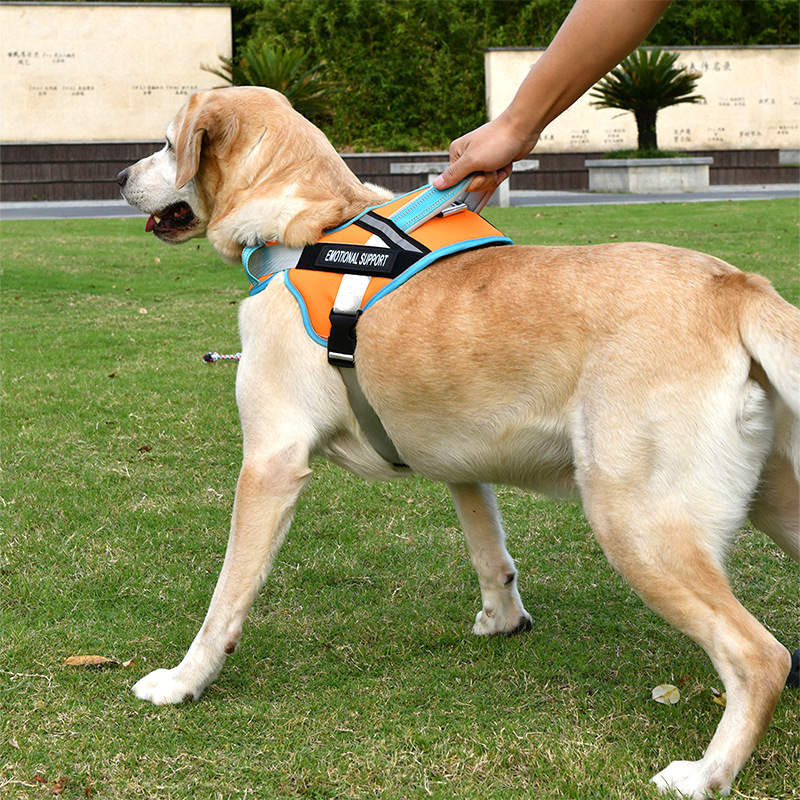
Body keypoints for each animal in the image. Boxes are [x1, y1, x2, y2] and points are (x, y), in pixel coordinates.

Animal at [118, 86, 799, 799]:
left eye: (167, 143)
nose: (118, 177)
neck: (308, 227)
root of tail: (736, 288)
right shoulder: (459, 454)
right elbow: (488, 548)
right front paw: (504, 618)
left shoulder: (270, 465)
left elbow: (225, 597)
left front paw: (184, 680)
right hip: (776, 501)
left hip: (635, 520)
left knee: (760, 656)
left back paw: (708, 772)